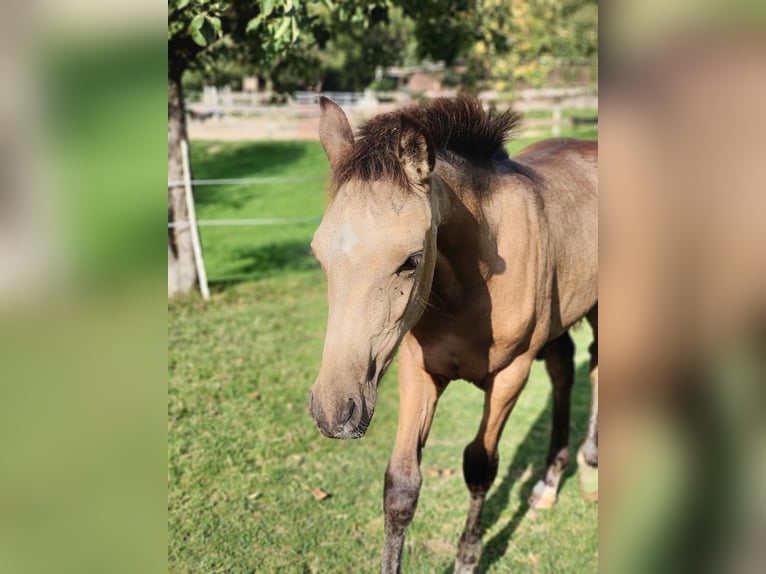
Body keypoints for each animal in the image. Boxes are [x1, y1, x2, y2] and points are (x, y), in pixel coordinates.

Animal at [308, 97, 600, 572]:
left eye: (411, 260)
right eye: (318, 254)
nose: (334, 411)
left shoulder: (510, 375)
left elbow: (480, 465)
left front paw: (467, 556)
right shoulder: (418, 370)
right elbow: (401, 485)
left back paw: (588, 468)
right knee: (564, 368)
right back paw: (549, 481)